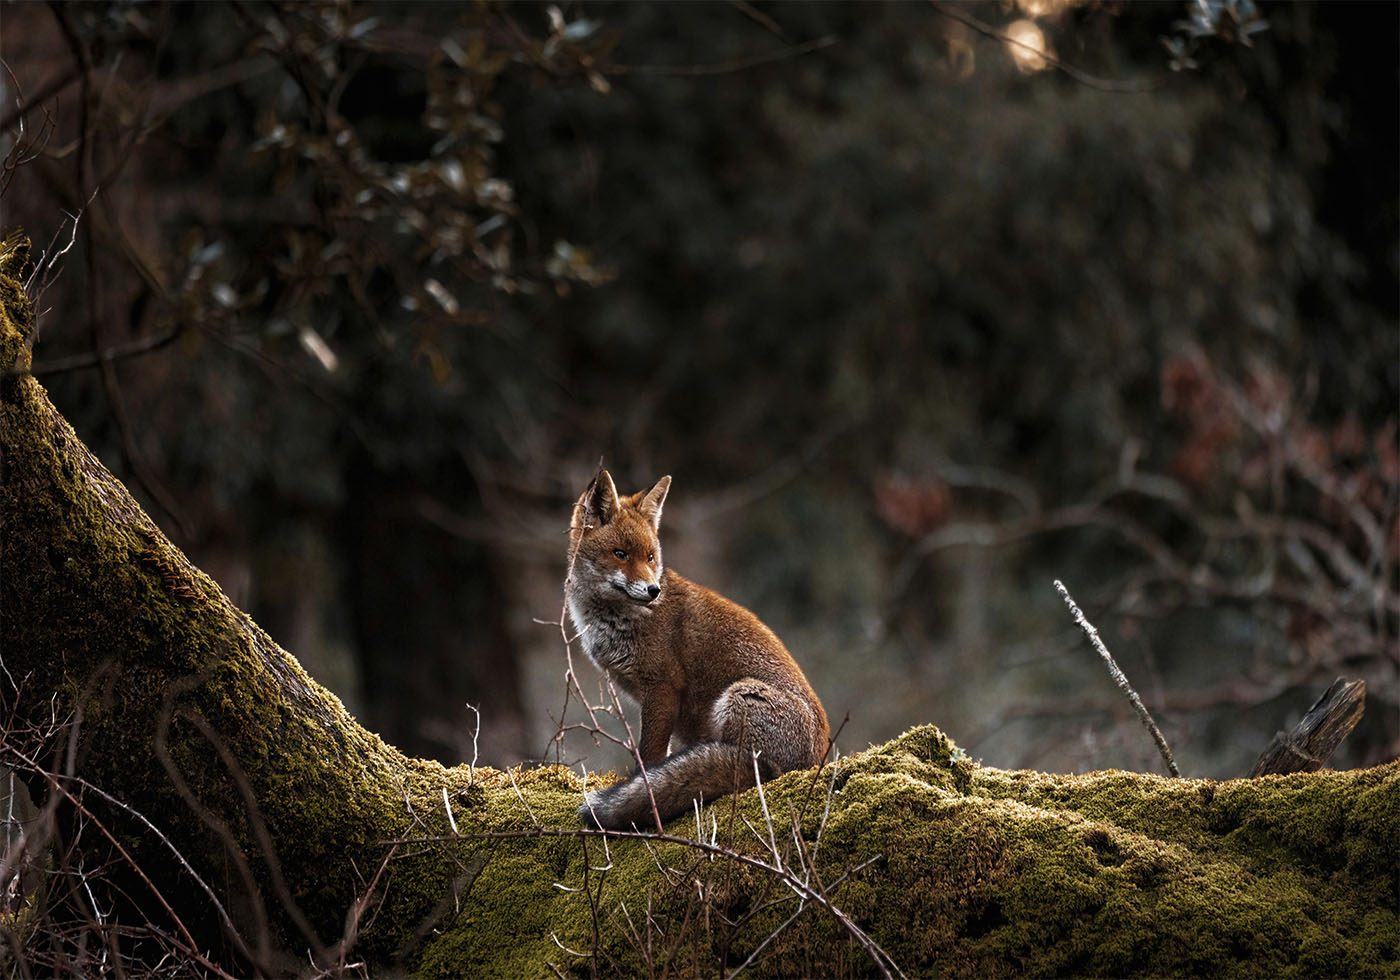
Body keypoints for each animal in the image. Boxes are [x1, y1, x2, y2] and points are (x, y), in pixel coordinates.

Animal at [565, 469, 830, 830]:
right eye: (621, 554)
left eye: (650, 557)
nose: (653, 590)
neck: (615, 620)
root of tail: (817, 760)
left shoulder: (663, 686)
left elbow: (650, 757)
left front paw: (644, 791)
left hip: (740, 697)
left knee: (751, 771)